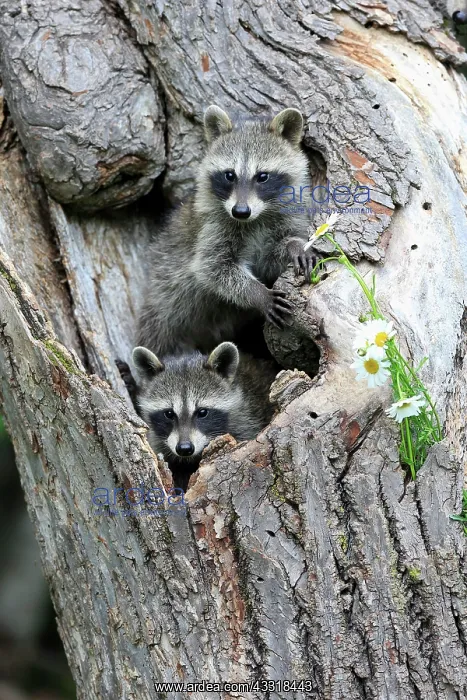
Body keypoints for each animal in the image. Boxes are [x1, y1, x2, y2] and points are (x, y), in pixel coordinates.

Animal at [137, 105, 314, 356]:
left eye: (262, 176)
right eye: (230, 175)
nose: (240, 211)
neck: (256, 218)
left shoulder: (286, 215)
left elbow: (271, 258)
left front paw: (294, 246)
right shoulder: (214, 226)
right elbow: (213, 268)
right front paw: (257, 293)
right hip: (163, 294)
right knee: (157, 327)